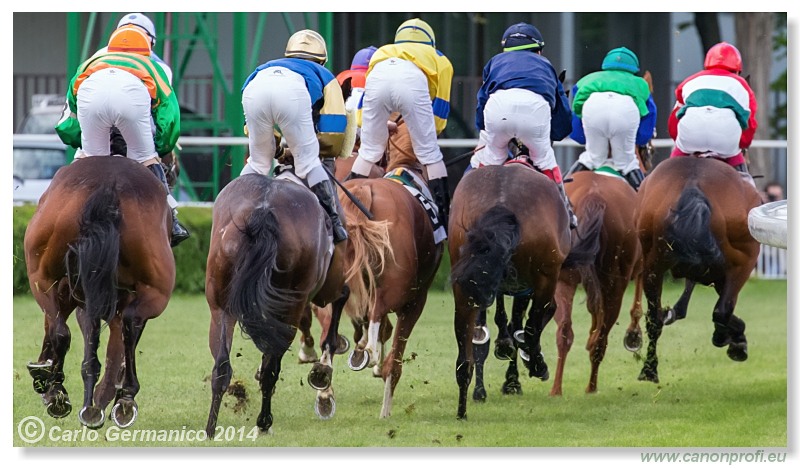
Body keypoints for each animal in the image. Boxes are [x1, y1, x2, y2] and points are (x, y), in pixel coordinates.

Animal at [24, 156, 174, 428]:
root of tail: (108, 186)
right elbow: (116, 342)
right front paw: (102, 397)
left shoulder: (71, 291)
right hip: (155, 290)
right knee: (128, 324)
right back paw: (122, 398)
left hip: (41, 276)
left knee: (60, 330)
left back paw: (59, 391)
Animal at [205, 171, 348, 432]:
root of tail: (264, 208)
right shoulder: (326, 289)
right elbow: (343, 296)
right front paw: (323, 368)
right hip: (291, 307)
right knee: (272, 369)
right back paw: (264, 422)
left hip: (220, 306)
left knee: (221, 366)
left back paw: (210, 429)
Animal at [450, 163, 576, 418]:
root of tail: (502, 201)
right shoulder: (531, 285)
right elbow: (527, 323)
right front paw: (521, 364)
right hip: (546, 276)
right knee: (535, 322)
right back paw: (536, 363)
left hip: (463, 288)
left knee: (464, 357)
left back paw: (462, 410)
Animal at [636, 155, 760, 382]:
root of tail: (693, 185)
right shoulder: (726, 270)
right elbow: (723, 309)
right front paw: (735, 338)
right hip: (744, 260)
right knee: (722, 311)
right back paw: (728, 340)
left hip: (652, 265)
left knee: (654, 318)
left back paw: (649, 370)